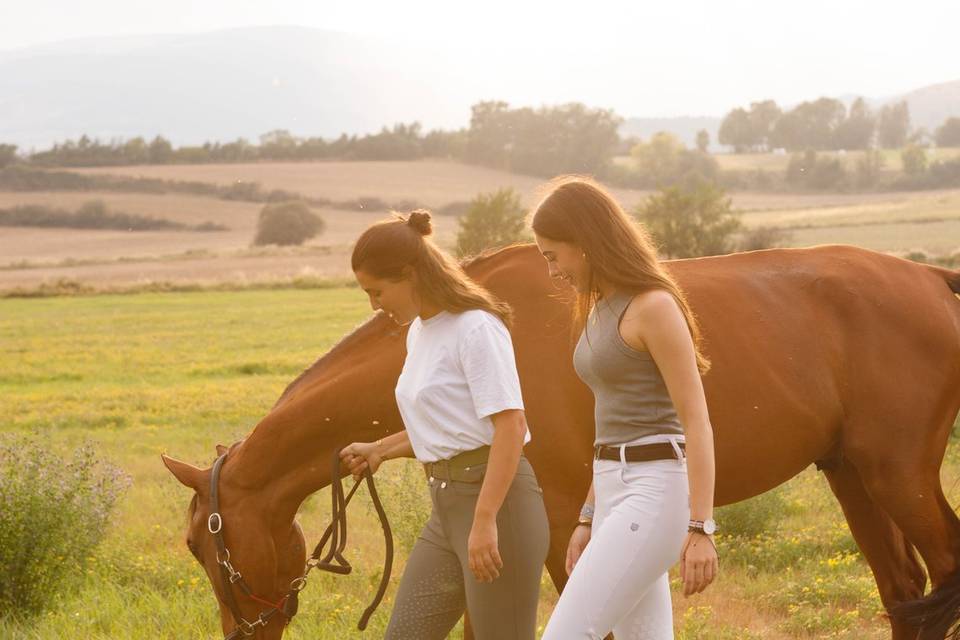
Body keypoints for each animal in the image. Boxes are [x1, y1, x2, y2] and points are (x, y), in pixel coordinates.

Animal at [163, 244, 960, 640]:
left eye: (205, 545)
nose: (242, 635)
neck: (491, 321)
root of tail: (931, 276)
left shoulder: (555, 516)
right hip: (852, 474)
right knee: (904, 596)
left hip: (896, 475)